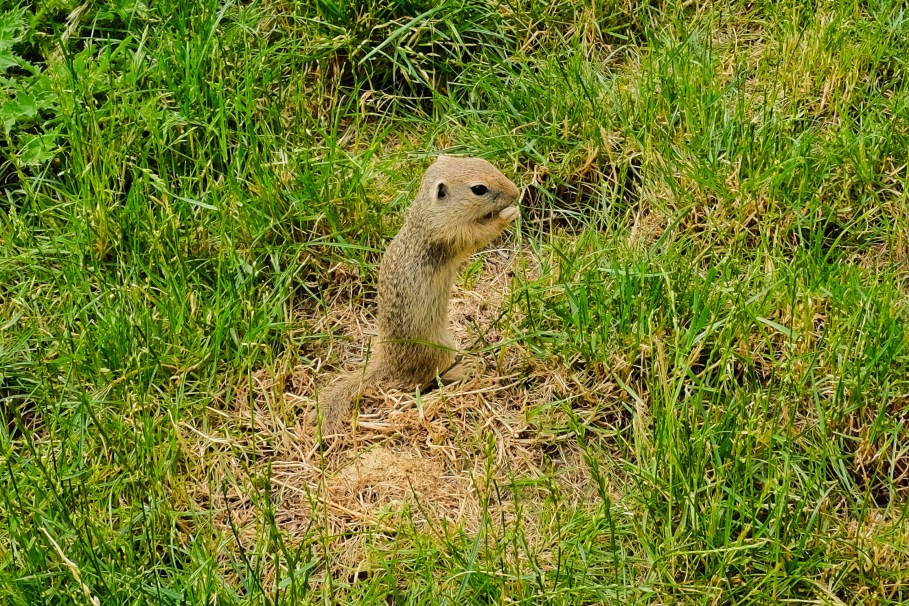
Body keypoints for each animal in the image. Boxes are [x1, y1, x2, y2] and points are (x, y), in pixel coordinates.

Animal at [317, 155, 521, 436]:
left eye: (484, 162)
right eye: (479, 189)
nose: (515, 191)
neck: (428, 217)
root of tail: (388, 363)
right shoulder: (452, 235)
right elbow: (480, 234)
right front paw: (508, 215)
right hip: (440, 349)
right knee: (428, 378)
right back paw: (464, 370)